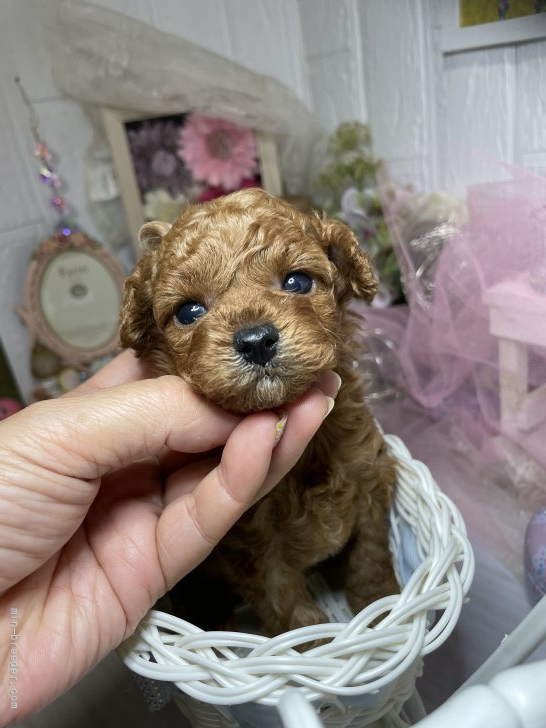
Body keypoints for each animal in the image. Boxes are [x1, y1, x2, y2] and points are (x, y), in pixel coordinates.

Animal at [120, 189, 396, 636]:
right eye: (188, 312)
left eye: (297, 281)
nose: (255, 340)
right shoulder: (253, 544)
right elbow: (284, 599)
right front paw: (309, 644)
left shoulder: (370, 475)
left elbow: (370, 555)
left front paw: (382, 607)